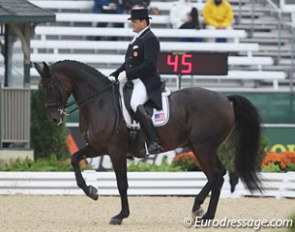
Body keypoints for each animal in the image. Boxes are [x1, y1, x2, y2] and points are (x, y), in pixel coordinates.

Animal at [34, 59, 264, 225]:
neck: (99, 101)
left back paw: (198, 208)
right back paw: (206, 216)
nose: (54, 119)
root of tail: (225, 98)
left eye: (51, 85)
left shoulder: (115, 151)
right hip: (199, 148)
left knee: (216, 174)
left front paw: (120, 216)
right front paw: (92, 191)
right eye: (41, 88)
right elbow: (74, 160)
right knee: (217, 175)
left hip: (203, 146)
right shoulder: (97, 147)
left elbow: (122, 184)